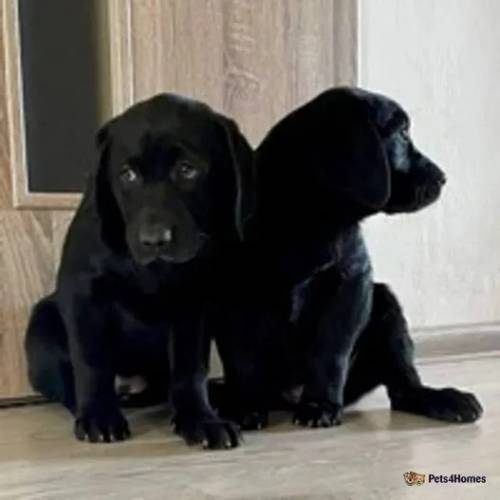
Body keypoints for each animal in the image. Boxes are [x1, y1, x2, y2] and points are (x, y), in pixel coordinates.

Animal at [24, 94, 254, 450]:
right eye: (127, 175)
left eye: (187, 170)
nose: (154, 240)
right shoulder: (82, 291)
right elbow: (91, 361)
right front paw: (99, 416)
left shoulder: (195, 303)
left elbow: (190, 368)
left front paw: (200, 419)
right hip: (41, 329)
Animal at [214, 87, 480, 430]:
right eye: (403, 133)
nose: (443, 177)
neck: (311, 216)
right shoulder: (233, 294)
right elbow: (242, 357)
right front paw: (245, 406)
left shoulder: (351, 281)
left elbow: (331, 350)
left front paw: (319, 404)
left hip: (386, 307)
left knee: (404, 388)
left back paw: (445, 399)